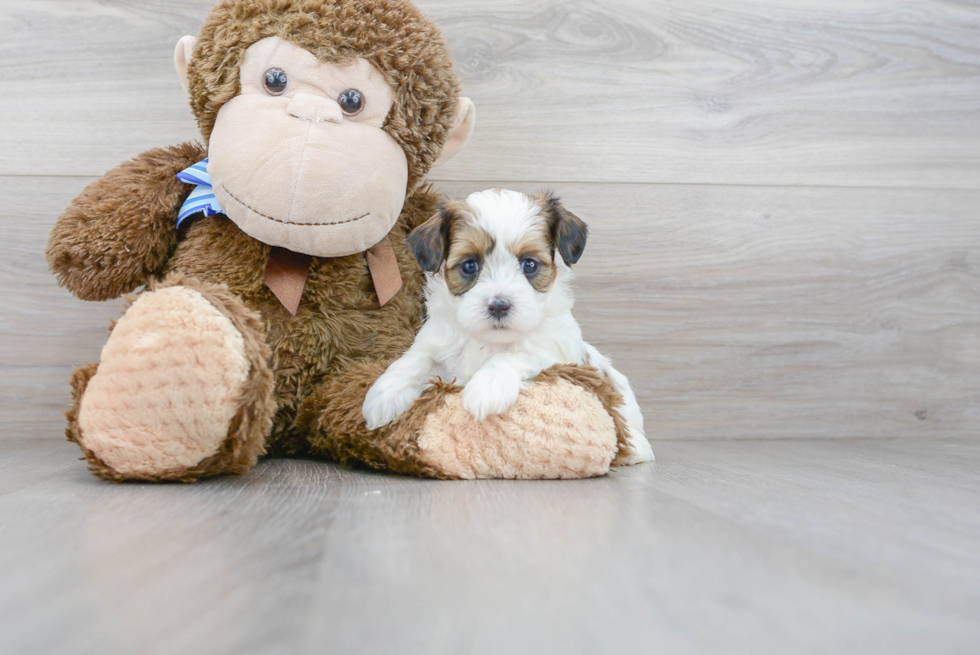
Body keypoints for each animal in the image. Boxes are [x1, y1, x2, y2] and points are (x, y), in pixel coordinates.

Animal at [364, 190, 656, 466]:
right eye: (470, 265)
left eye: (529, 264)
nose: (499, 306)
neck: (489, 339)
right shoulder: (435, 345)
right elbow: (414, 361)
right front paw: (383, 395)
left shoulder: (554, 352)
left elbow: (512, 355)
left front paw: (486, 388)